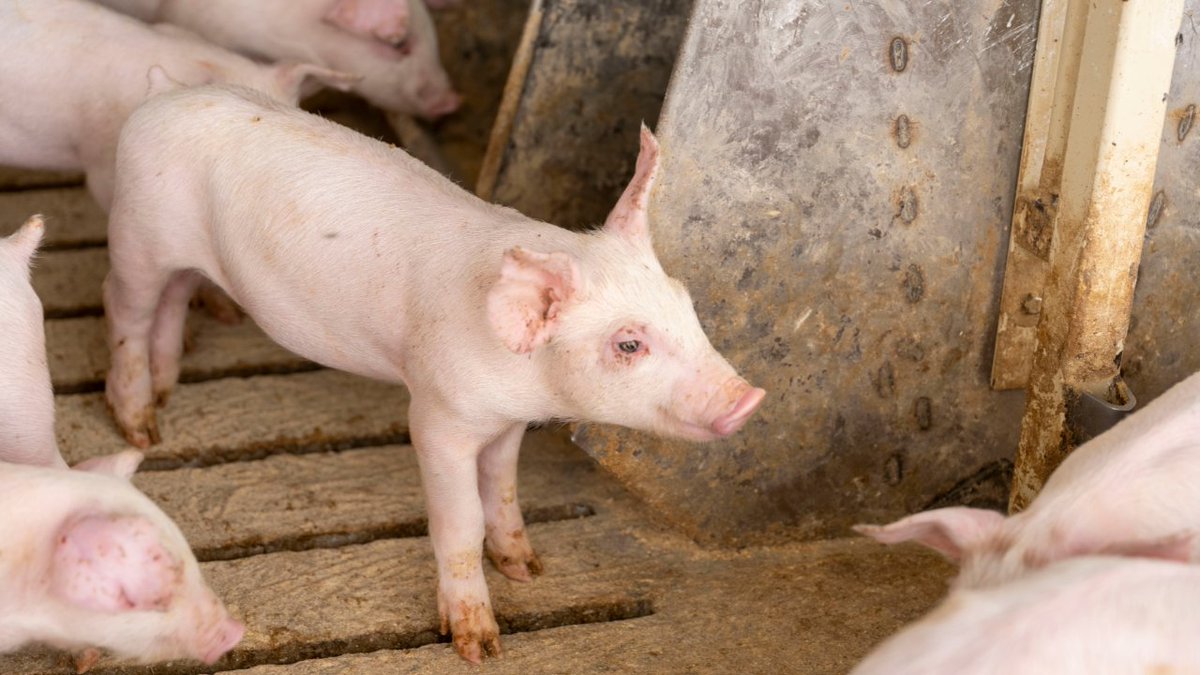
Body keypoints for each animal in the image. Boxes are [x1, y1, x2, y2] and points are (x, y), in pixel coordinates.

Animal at [102, 83, 765, 662]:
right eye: (629, 343)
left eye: (686, 304)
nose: (749, 398)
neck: (523, 384)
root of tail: (161, 95)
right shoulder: (438, 416)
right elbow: (461, 520)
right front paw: (479, 646)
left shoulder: (507, 422)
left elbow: (503, 487)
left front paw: (528, 570)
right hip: (136, 235)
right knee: (128, 312)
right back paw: (140, 430)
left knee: (174, 298)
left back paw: (165, 395)